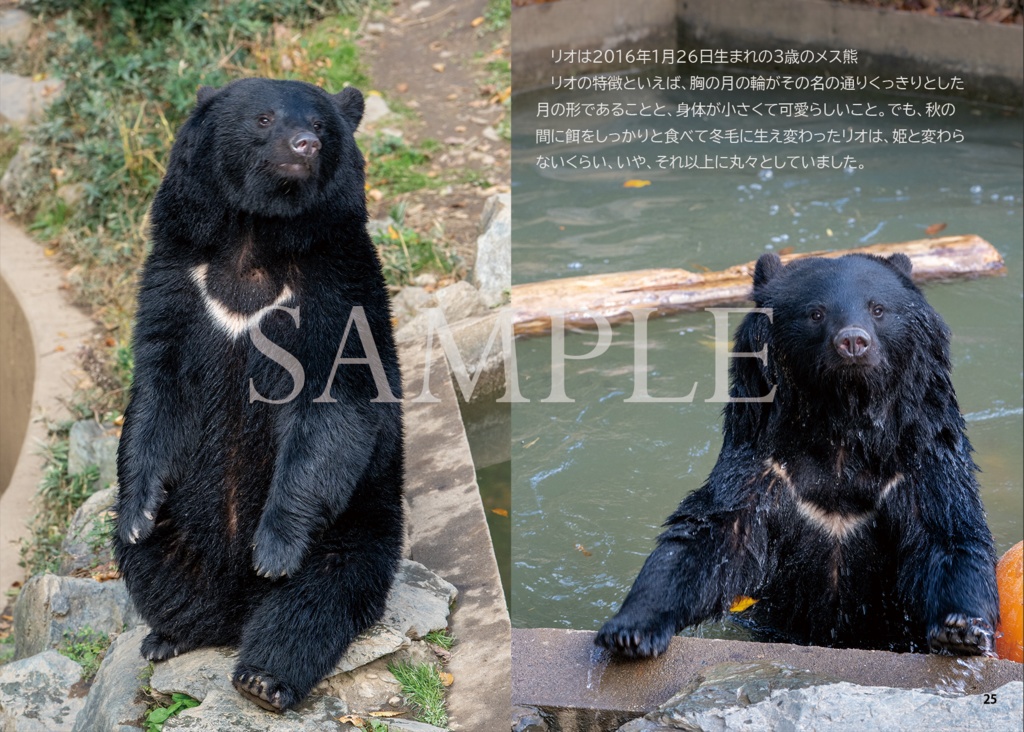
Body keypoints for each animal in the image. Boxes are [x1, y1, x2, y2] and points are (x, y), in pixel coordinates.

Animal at [113, 78, 405, 712]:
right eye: (265, 118)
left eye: (319, 125)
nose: (303, 146)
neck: (254, 235)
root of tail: (236, 600)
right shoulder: (177, 276)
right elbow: (158, 384)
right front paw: (137, 511)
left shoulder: (333, 286)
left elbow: (335, 399)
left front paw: (272, 549)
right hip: (183, 529)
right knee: (154, 568)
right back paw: (172, 633)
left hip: (358, 525)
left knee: (317, 600)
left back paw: (263, 676)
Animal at [596, 252, 999, 658]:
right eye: (816, 313)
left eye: (879, 309)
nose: (853, 341)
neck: (842, 422)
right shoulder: (765, 467)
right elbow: (711, 538)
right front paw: (630, 630)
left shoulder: (917, 462)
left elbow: (946, 531)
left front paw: (961, 628)